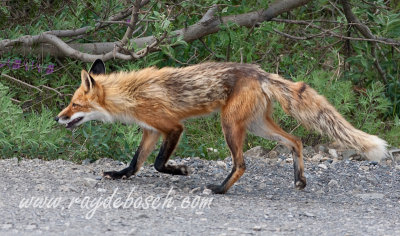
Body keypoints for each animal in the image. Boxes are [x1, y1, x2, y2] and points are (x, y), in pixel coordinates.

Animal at [55, 59, 388, 194]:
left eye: (74, 105)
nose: (57, 118)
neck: (130, 94)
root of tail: (259, 72)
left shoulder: (172, 127)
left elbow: (159, 163)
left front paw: (181, 171)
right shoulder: (151, 130)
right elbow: (136, 162)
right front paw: (119, 174)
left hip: (229, 125)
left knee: (241, 164)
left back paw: (219, 189)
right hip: (256, 126)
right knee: (296, 140)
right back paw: (299, 180)